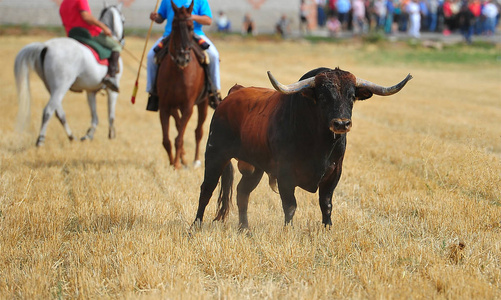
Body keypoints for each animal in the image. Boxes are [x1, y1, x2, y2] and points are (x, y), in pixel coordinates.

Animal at [15, 2, 126, 146]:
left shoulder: (90, 91)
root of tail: (45, 47)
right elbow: (111, 115)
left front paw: (89, 135)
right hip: (61, 86)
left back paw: (71, 137)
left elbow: (94, 116)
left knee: (59, 113)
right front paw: (111, 136)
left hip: (52, 88)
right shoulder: (112, 91)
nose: (122, 40)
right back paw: (40, 140)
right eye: (123, 20)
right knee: (48, 111)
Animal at [158, 0, 209, 169]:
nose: (183, 57)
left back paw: (195, 161)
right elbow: (167, 140)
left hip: (203, 103)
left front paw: (176, 165)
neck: (178, 72)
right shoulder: (164, 106)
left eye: (191, 27)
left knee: (198, 131)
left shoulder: (188, 106)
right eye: (174, 26)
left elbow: (179, 138)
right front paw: (173, 162)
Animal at [193, 67, 412, 229]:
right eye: (323, 96)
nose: (341, 124)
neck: (320, 144)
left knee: (242, 192)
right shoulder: (285, 174)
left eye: (351, 96)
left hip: (255, 167)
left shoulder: (334, 174)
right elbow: (290, 205)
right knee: (206, 190)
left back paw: (244, 229)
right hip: (215, 154)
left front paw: (327, 229)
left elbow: (326, 205)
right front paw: (287, 232)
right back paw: (195, 226)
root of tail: (235, 91)